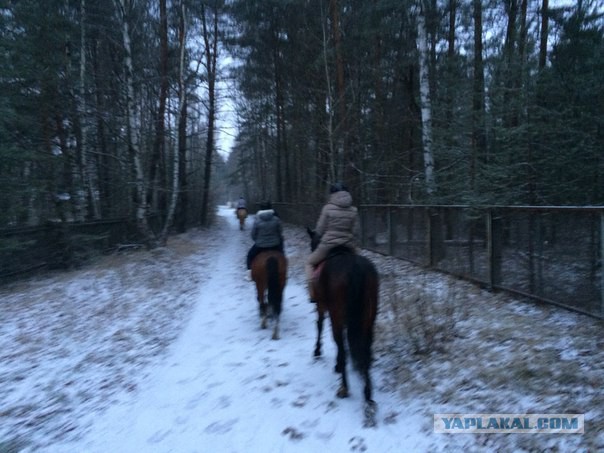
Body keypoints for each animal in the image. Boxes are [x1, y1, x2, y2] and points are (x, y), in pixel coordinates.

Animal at [306, 228, 378, 426]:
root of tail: (355, 268)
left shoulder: (323, 306)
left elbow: (320, 325)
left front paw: (318, 351)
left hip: (337, 315)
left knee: (342, 345)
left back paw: (344, 388)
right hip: (368, 319)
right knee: (365, 348)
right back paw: (367, 395)